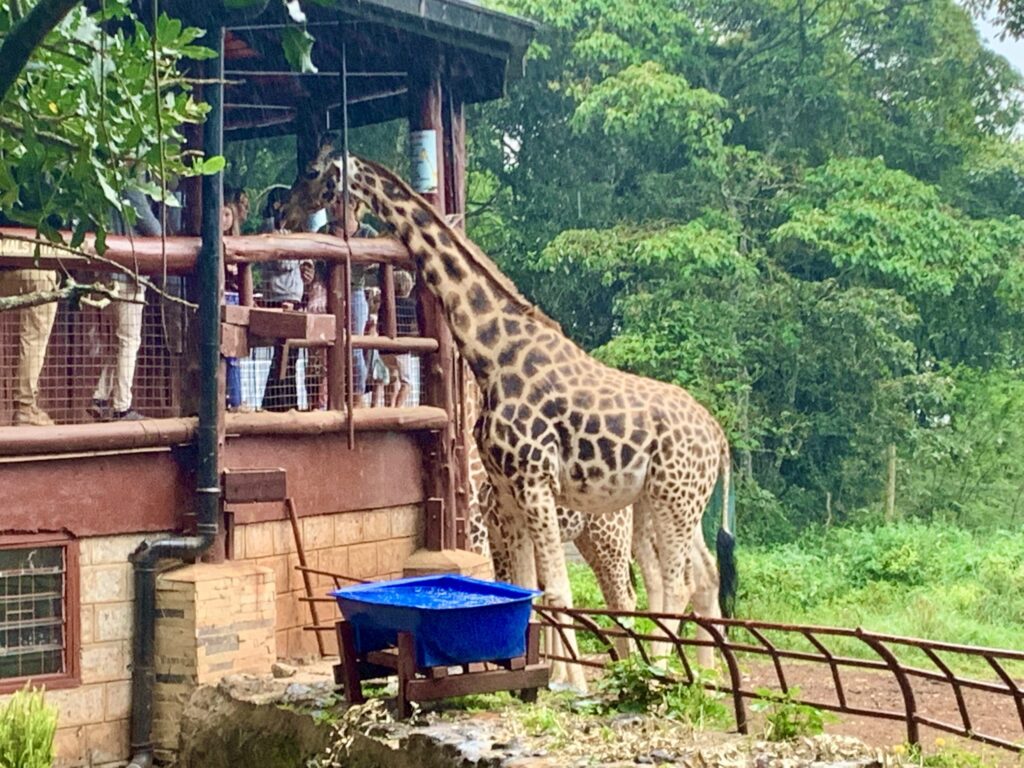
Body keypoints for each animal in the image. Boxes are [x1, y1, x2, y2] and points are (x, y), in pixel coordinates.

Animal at [283, 155, 736, 689]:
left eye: (313, 172)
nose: (286, 213)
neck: (492, 355)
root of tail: (720, 438)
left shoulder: (531, 481)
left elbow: (555, 593)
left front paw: (571, 686)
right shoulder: (506, 493)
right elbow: (524, 593)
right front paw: (539, 674)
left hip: (667, 502)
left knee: (674, 583)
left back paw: (662, 673)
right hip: (658, 501)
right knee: (689, 580)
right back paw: (695, 678)